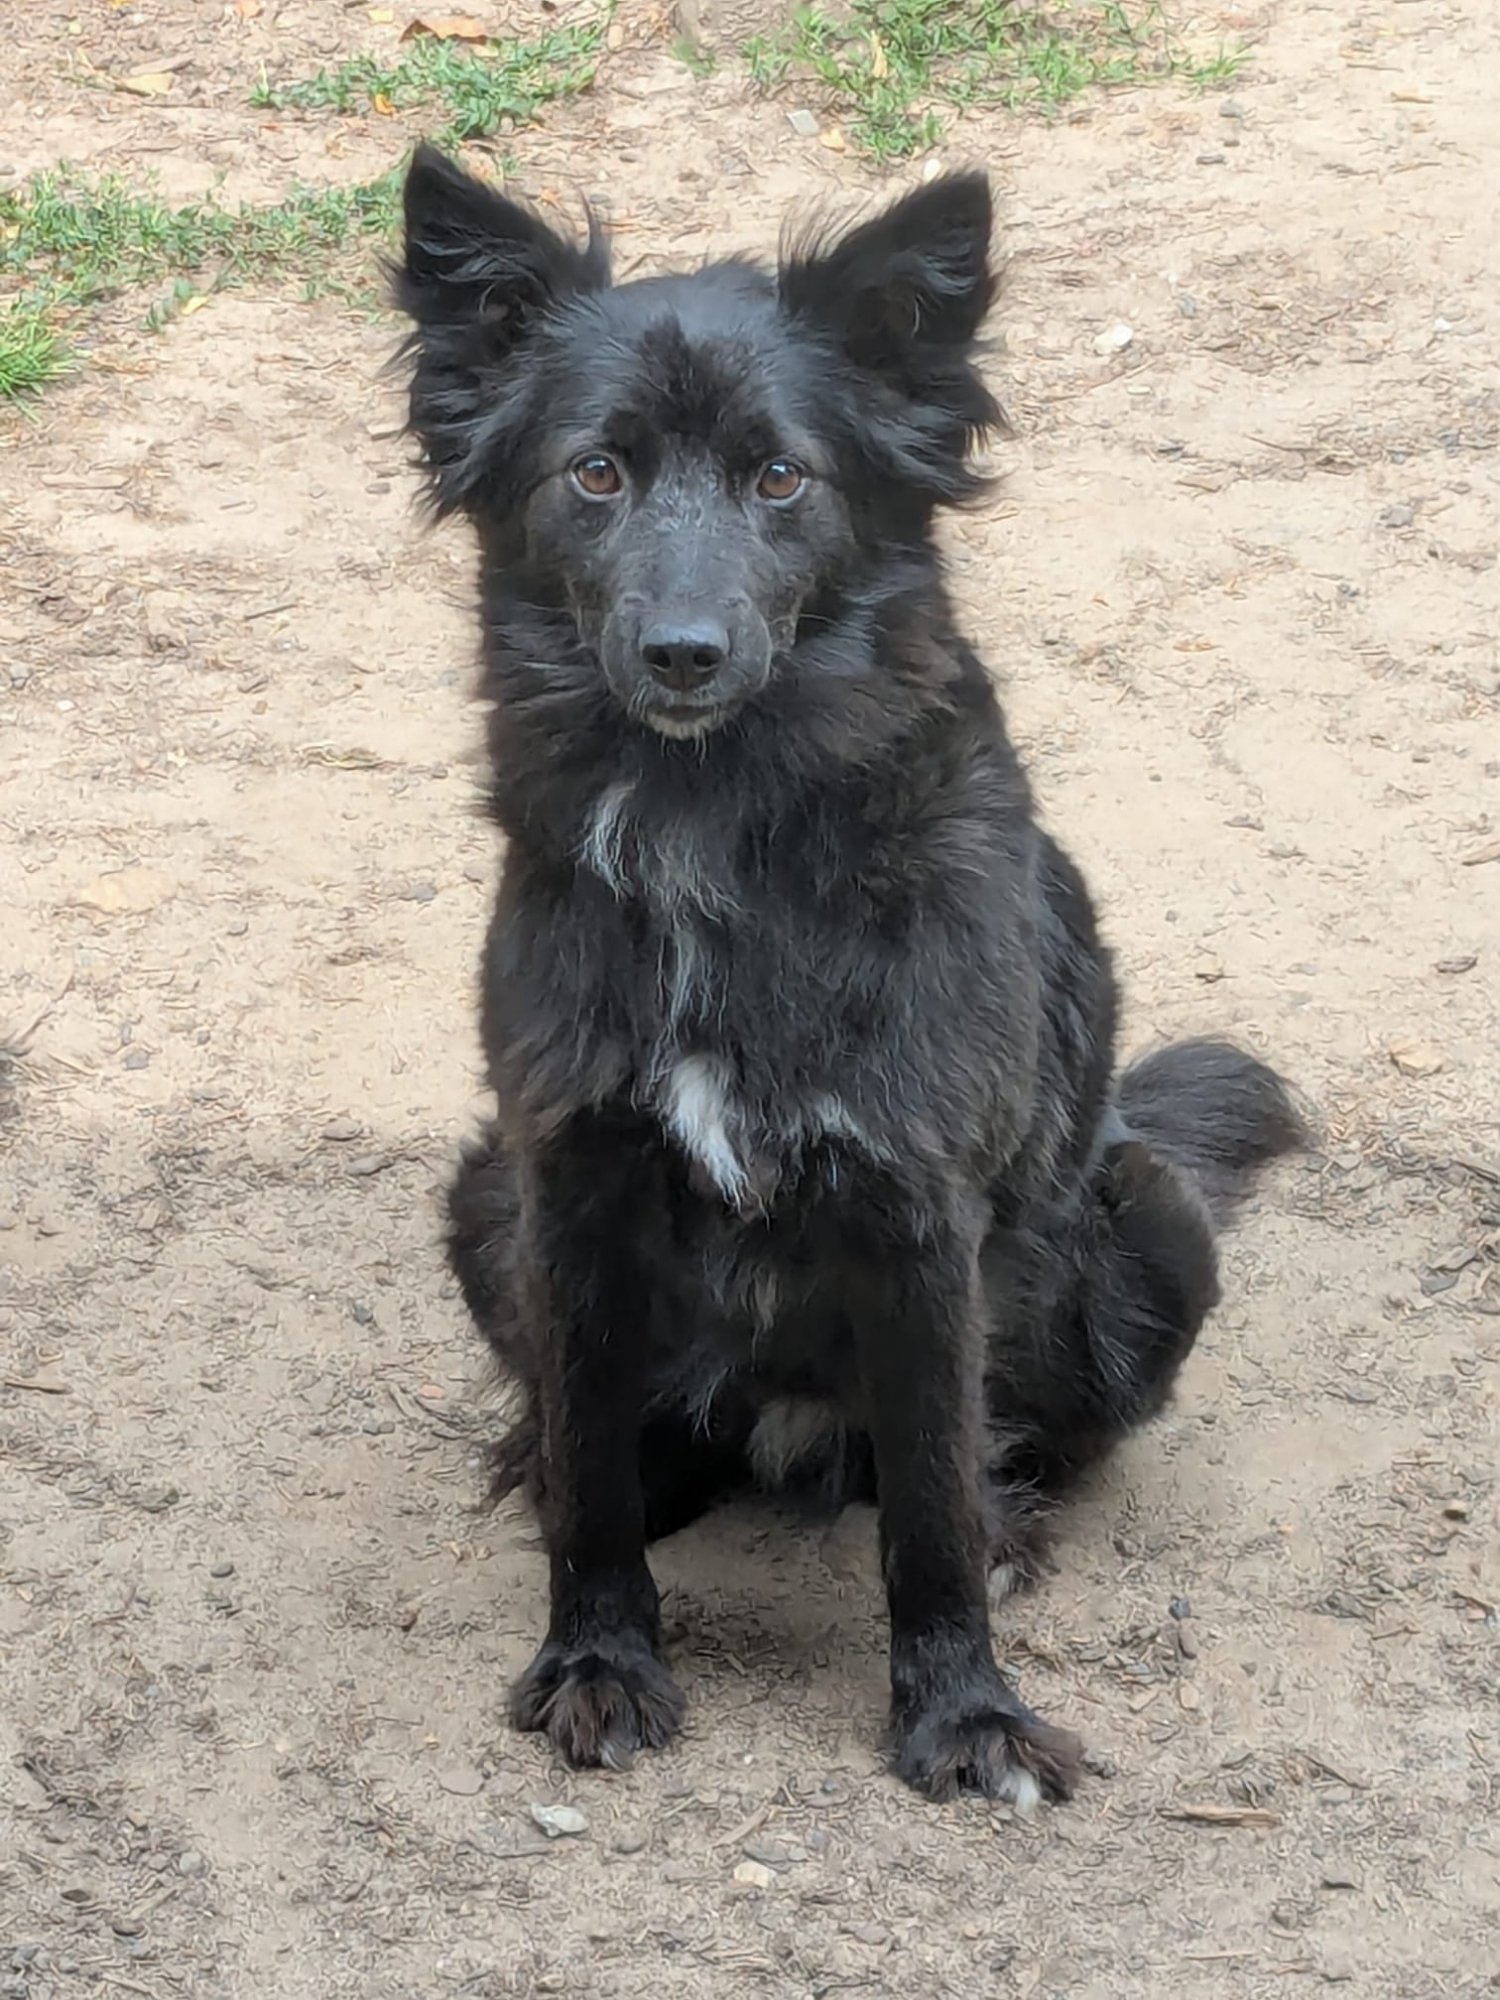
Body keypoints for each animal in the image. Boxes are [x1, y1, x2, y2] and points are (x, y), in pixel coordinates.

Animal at [394, 143, 1303, 1805]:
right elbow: (593, 1484)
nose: (684, 652)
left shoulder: (916, 1210)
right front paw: (596, 1662)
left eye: (781, 478)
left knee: (1006, 1455)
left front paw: (965, 1714)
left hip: (1145, 1226)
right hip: (481, 1196)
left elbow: (933, 1504)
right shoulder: (569, 1175)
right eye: (596, 474)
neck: (713, 830)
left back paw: (1017, 1524)